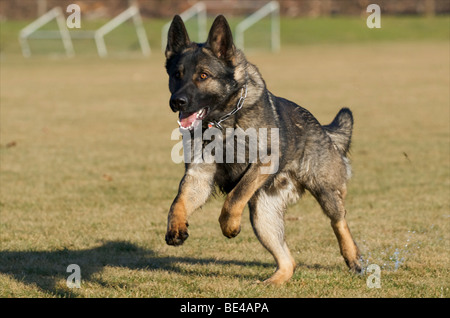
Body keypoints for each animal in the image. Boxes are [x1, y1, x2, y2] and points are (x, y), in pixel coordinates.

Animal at [163, 14, 360, 284]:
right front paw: (176, 227)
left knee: (339, 222)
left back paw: (353, 257)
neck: (225, 121)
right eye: (177, 75)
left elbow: (234, 197)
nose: (177, 102)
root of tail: (322, 129)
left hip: (325, 191)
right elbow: (178, 202)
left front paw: (229, 225)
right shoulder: (199, 175)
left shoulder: (263, 162)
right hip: (263, 217)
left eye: (203, 76)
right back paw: (272, 282)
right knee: (289, 262)